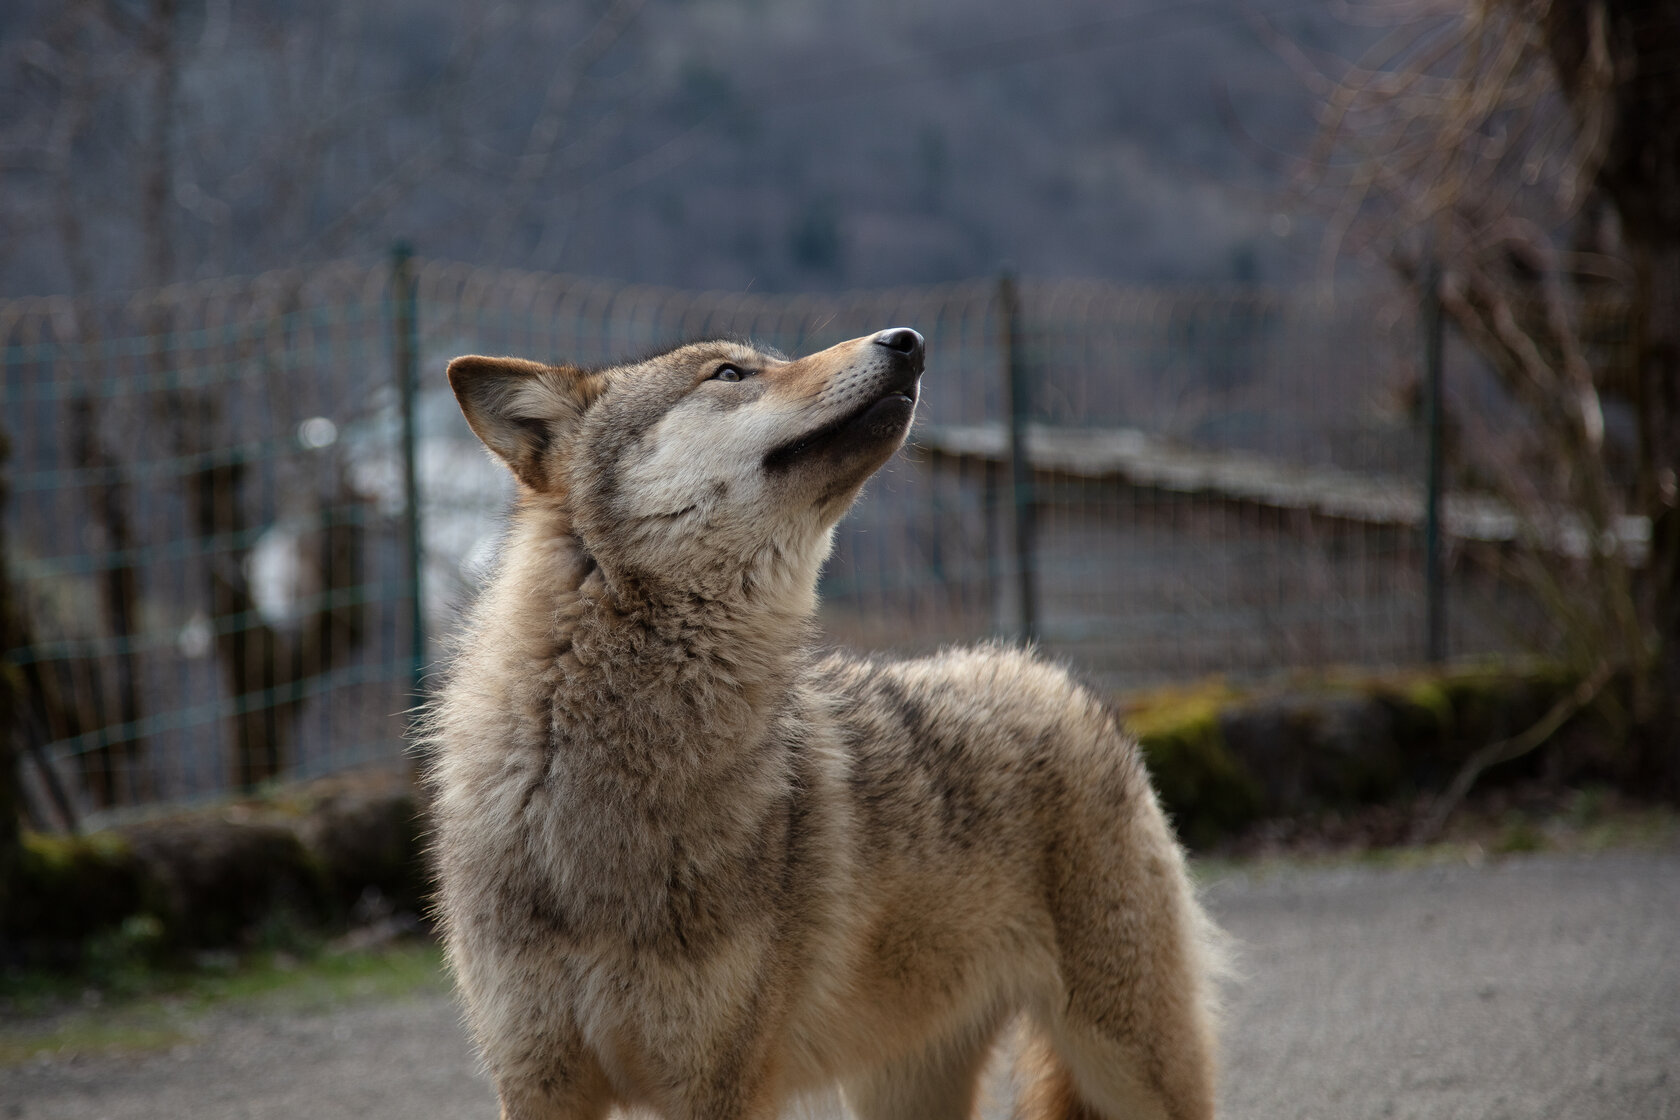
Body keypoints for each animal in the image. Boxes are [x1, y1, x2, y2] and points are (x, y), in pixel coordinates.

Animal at [423, 327, 1224, 1120]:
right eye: (730, 374)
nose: (908, 341)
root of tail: (1049, 676)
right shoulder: (537, 1081)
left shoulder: (723, 1085)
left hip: (1132, 1068)